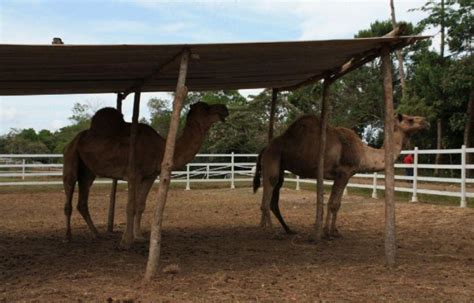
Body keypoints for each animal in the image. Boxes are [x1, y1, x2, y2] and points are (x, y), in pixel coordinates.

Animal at [63, 101, 228, 248]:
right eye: (206, 107)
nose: (224, 108)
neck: (159, 148)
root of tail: (75, 139)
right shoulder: (134, 174)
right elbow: (131, 206)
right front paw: (125, 241)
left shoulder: (150, 176)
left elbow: (140, 205)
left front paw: (139, 236)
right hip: (71, 156)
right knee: (69, 189)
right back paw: (68, 237)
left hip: (88, 172)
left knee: (82, 201)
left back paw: (97, 234)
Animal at [256, 113, 430, 238]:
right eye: (410, 119)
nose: (426, 122)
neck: (363, 153)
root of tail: (265, 148)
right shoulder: (343, 172)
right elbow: (333, 203)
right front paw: (327, 233)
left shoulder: (345, 175)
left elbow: (336, 203)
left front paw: (334, 231)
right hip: (272, 159)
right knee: (268, 192)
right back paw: (271, 232)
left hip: (280, 166)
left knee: (274, 198)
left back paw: (285, 229)